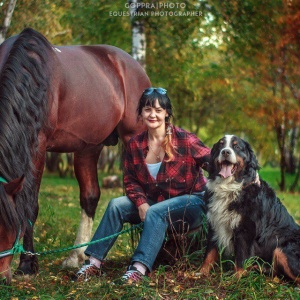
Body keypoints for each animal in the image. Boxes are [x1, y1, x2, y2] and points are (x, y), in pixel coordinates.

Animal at [0, 27, 150, 284]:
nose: (1, 277)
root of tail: (132, 65)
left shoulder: (38, 147)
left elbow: (30, 205)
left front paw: (28, 264)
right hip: (88, 147)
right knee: (90, 196)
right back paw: (76, 257)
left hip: (134, 137)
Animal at [199, 135, 300, 282]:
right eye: (221, 145)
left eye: (236, 146)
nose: (225, 152)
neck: (229, 188)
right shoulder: (214, 223)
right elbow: (209, 253)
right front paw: (200, 273)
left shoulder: (245, 230)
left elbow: (241, 257)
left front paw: (237, 278)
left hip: (281, 250)